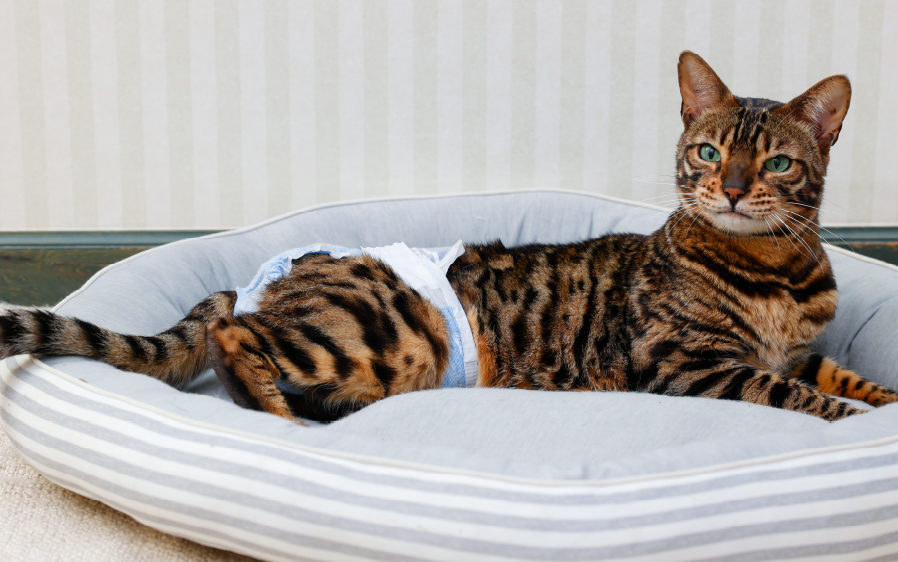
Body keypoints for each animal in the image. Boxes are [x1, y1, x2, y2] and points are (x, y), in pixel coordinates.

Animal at [1, 52, 896, 420]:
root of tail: (273, 272)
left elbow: (841, 374)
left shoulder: (800, 349)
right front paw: (854, 427)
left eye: (777, 162)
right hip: (390, 330)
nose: (735, 189)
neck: (772, 270)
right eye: (708, 153)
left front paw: (881, 399)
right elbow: (795, 395)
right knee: (234, 337)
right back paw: (278, 413)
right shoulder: (688, 364)